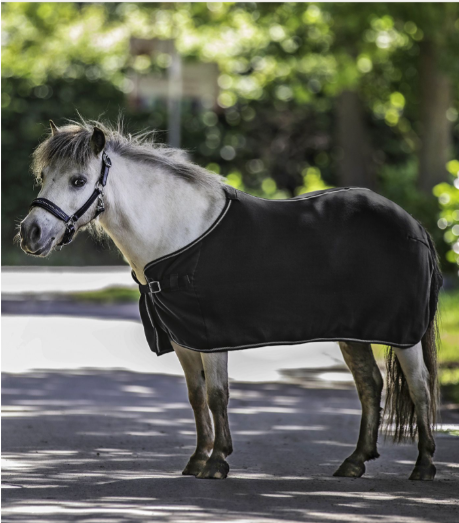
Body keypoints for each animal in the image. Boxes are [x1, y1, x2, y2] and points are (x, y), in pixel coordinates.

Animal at [18, 121, 442, 482]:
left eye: (78, 180)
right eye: (43, 176)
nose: (30, 233)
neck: (176, 233)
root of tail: (415, 226)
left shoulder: (210, 336)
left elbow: (217, 395)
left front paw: (218, 461)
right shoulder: (183, 339)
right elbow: (196, 396)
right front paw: (198, 458)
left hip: (403, 334)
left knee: (420, 386)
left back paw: (423, 465)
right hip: (353, 333)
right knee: (370, 384)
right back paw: (355, 462)